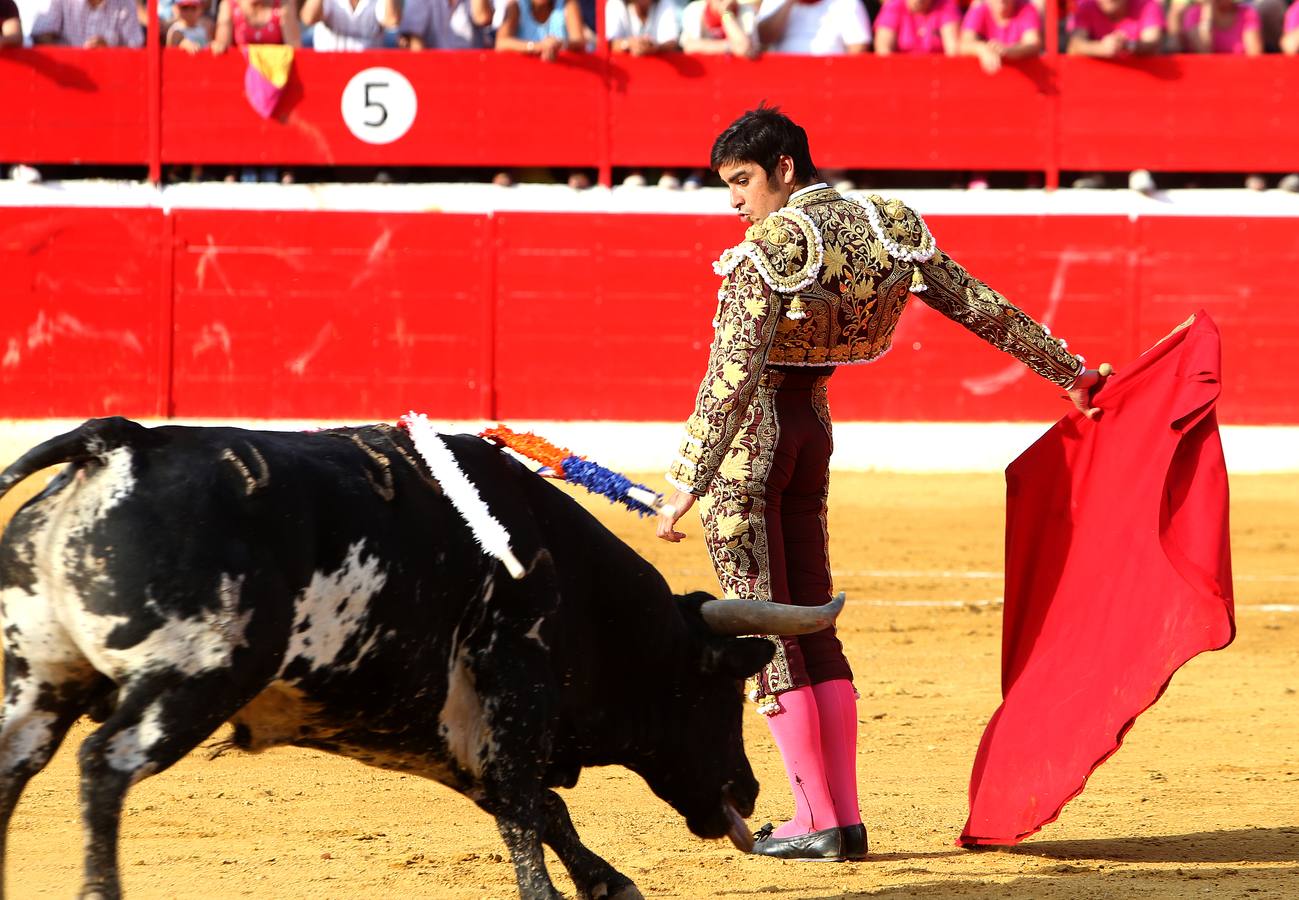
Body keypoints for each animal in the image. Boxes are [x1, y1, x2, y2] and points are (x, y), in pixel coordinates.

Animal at [0, 418, 841, 893]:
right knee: (103, 766)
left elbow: (540, 808)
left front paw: (609, 884)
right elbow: (526, 814)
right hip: (194, 677)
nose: (749, 791)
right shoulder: (513, 694)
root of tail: (121, 443)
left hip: (39, 683)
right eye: (719, 692)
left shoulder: (442, 730)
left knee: (14, 768)